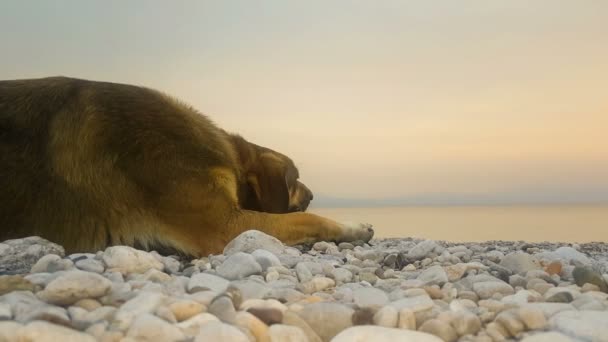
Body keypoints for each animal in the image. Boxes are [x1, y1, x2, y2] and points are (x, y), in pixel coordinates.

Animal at [0, 76, 372, 255]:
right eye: (295, 180)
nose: (312, 196)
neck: (226, 156)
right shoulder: (224, 226)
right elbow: (309, 220)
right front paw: (353, 226)